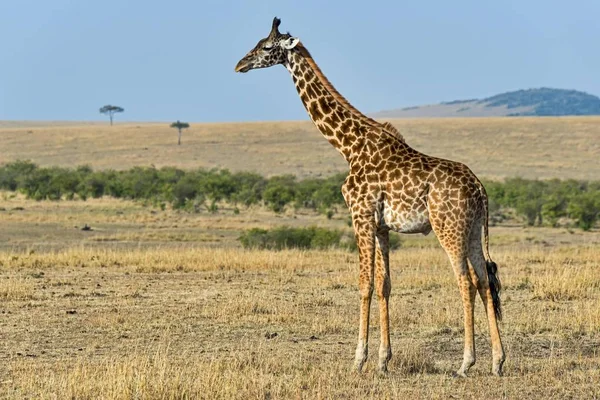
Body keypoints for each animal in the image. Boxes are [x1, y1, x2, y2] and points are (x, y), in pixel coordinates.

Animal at [236, 17, 506, 376]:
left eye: (266, 46)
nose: (240, 64)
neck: (348, 146)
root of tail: (479, 189)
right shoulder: (381, 226)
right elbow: (384, 284)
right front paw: (383, 360)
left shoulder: (360, 215)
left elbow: (364, 283)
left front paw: (358, 359)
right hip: (475, 230)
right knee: (485, 281)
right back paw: (498, 361)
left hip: (448, 228)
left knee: (465, 281)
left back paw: (466, 362)